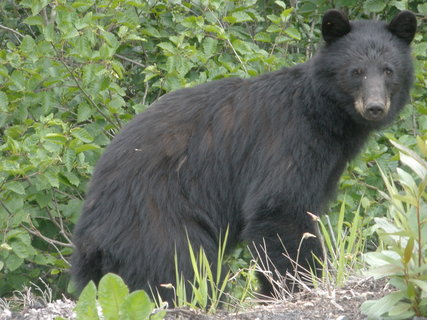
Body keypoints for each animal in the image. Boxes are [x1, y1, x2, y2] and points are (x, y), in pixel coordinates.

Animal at [71, 10, 418, 302]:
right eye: (355, 72)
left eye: (388, 70)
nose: (375, 107)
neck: (324, 113)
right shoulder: (290, 141)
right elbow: (278, 209)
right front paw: (297, 286)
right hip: (156, 218)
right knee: (180, 268)